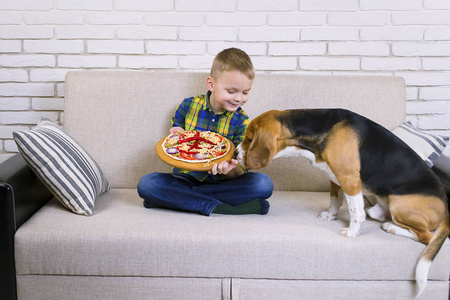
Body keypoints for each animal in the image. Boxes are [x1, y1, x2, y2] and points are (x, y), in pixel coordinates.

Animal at [237, 108, 448, 298]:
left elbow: (356, 211)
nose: (236, 154)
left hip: (400, 207)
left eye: (248, 138)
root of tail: (446, 209)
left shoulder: (349, 178)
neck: (319, 129)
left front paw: (352, 232)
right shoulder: (334, 177)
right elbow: (334, 199)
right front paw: (331, 216)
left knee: (426, 237)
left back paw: (392, 228)